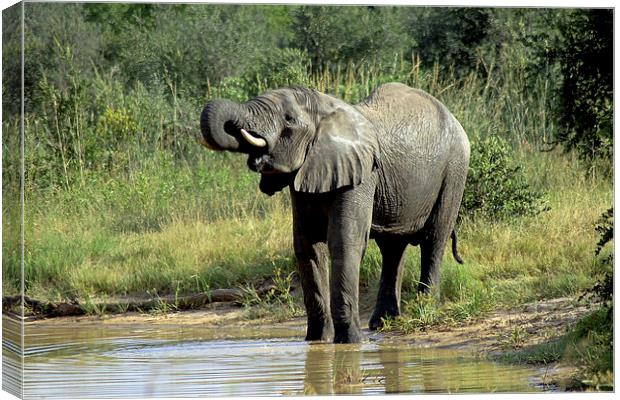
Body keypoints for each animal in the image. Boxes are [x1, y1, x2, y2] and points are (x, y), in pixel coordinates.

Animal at [199, 82, 470, 344]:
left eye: (288, 119)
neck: (324, 108)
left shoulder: (362, 173)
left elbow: (344, 242)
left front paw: (350, 342)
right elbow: (307, 247)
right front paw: (317, 341)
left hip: (455, 170)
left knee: (433, 240)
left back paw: (425, 311)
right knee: (393, 248)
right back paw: (383, 324)